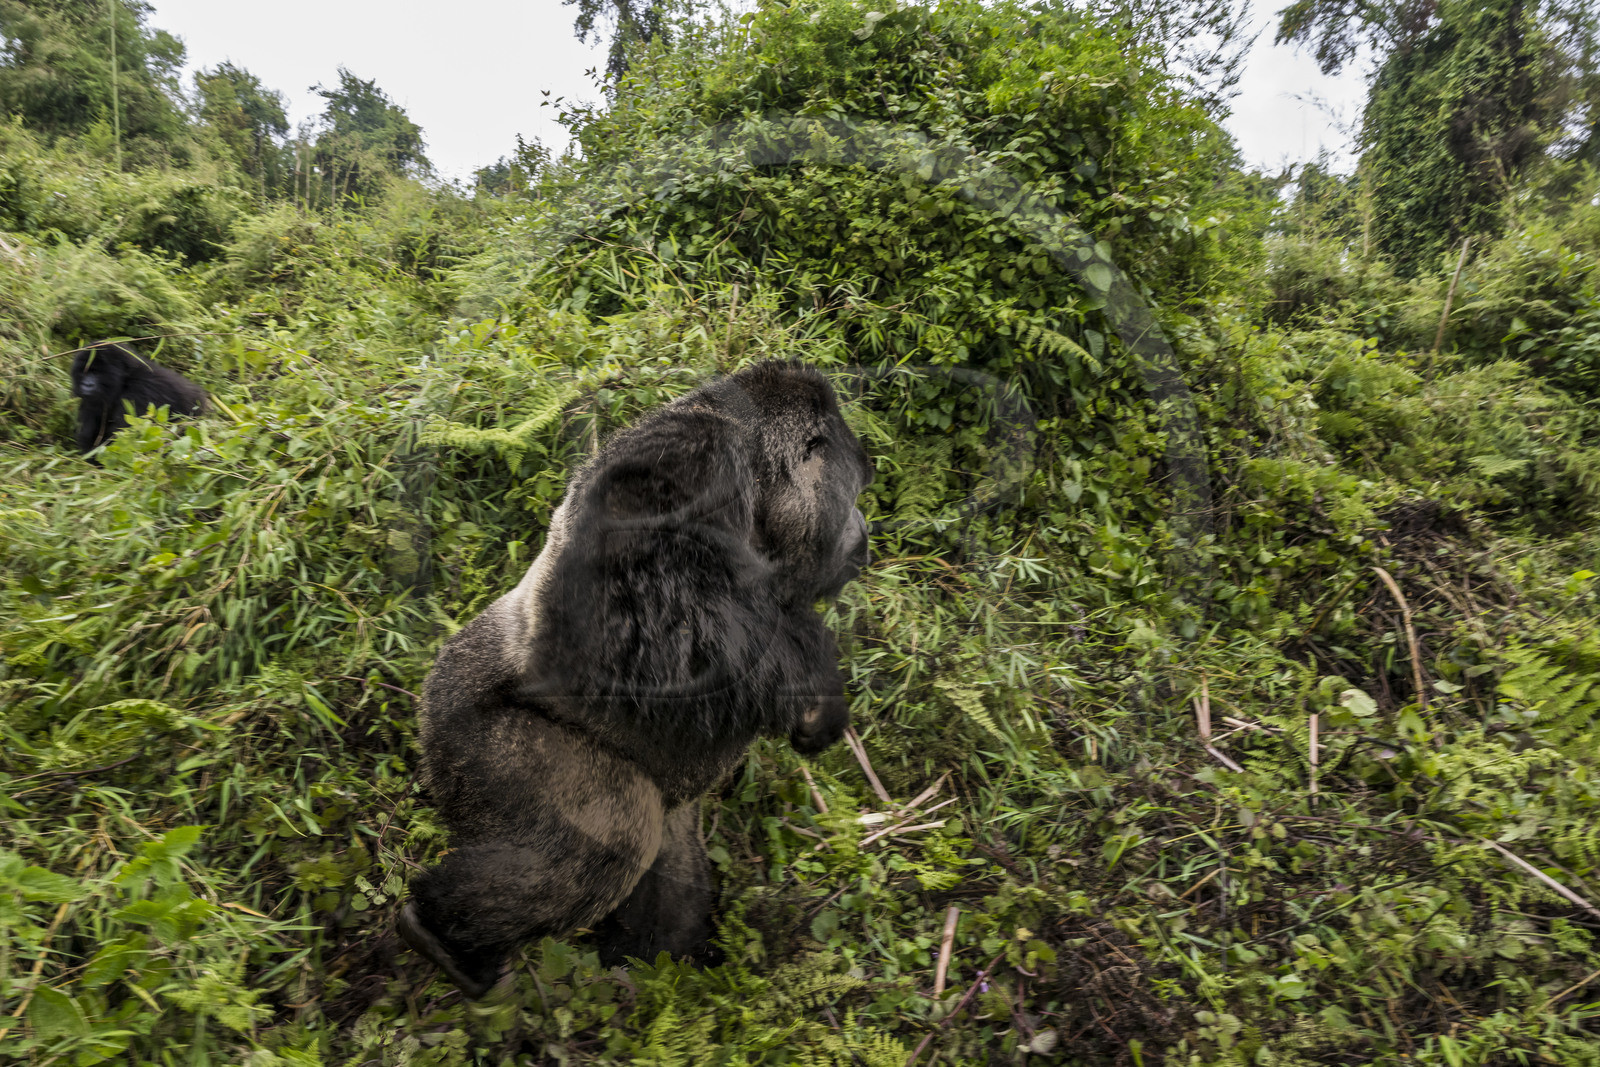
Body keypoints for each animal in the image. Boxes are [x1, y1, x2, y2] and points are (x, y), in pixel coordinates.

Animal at [70, 341, 206, 455]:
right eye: (84, 372)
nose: (86, 385)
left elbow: (123, 439)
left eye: (97, 372)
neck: (126, 379)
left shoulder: (139, 392)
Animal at [398, 360, 873, 997]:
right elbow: (652, 611)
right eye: (851, 497)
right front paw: (814, 690)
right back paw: (441, 938)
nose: (863, 530)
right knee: (613, 839)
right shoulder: (695, 459)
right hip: (461, 726)